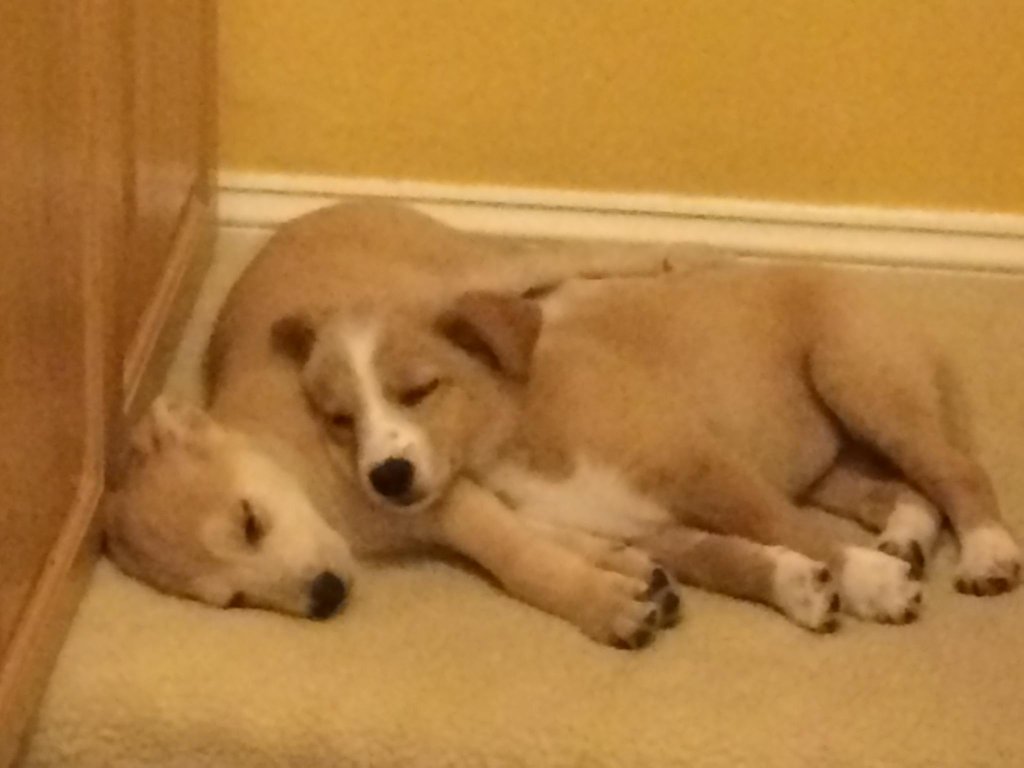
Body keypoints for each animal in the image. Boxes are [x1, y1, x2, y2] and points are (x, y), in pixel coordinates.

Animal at [106, 201, 683, 645]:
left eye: (250, 522)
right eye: (233, 599)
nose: (326, 597)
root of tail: (321, 210)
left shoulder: (442, 498)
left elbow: (518, 553)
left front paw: (602, 604)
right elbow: (534, 526)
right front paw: (622, 564)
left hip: (466, 274)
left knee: (548, 259)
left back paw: (647, 258)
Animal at [283, 263, 1022, 635]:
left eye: (418, 390)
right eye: (340, 420)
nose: (386, 476)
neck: (513, 433)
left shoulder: (701, 465)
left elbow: (784, 527)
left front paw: (867, 580)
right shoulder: (650, 531)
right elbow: (727, 558)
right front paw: (799, 588)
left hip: (859, 381)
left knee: (956, 470)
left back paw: (987, 551)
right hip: (832, 466)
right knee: (906, 488)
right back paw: (906, 537)